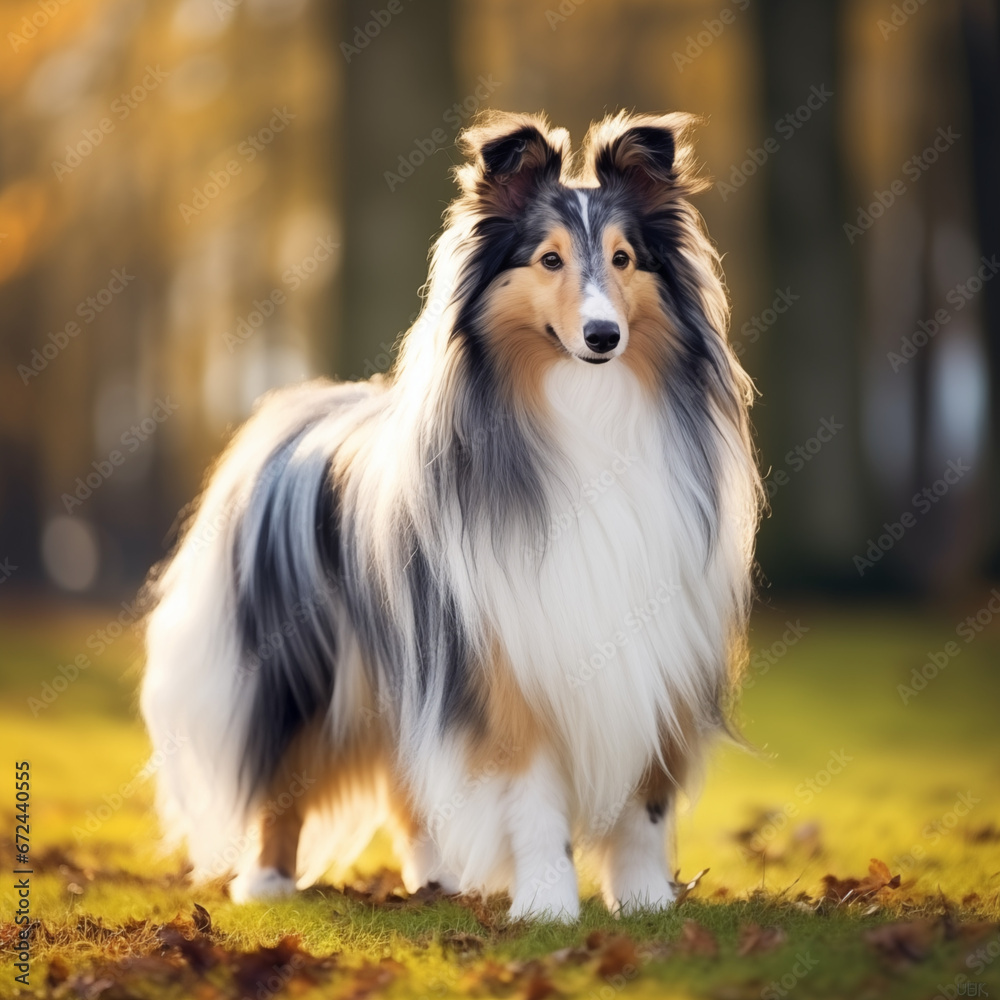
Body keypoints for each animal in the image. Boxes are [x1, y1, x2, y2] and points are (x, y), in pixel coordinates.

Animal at [141, 111, 760, 920]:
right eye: (549, 260)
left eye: (624, 259)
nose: (603, 337)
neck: (586, 412)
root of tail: (306, 409)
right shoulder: (505, 663)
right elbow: (534, 801)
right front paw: (546, 905)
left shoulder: (655, 655)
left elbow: (641, 809)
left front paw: (647, 901)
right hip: (306, 675)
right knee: (285, 776)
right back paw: (268, 881)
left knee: (409, 789)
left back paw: (436, 878)